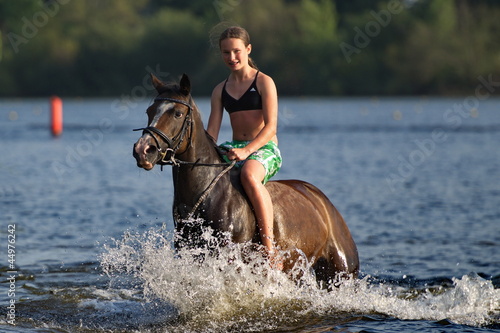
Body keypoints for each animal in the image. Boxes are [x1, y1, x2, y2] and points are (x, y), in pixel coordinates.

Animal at [134, 74, 360, 284]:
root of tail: (323, 202)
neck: (206, 195)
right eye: (149, 111)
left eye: (178, 113)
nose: (142, 150)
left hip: (341, 274)